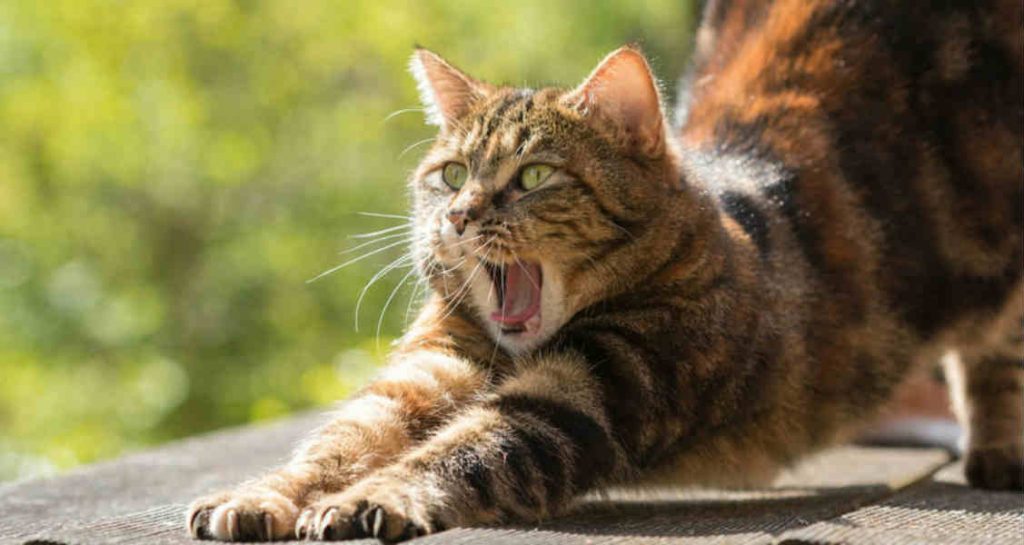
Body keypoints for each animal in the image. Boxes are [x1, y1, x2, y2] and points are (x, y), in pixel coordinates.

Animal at [188, 1, 1019, 540]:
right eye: (451, 175)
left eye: (532, 176)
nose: (459, 218)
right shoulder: (432, 365)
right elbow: (343, 438)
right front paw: (262, 495)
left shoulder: (594, 389)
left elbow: (465, 446)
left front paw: (376, 495)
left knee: (995, 352)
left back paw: (998, 452)